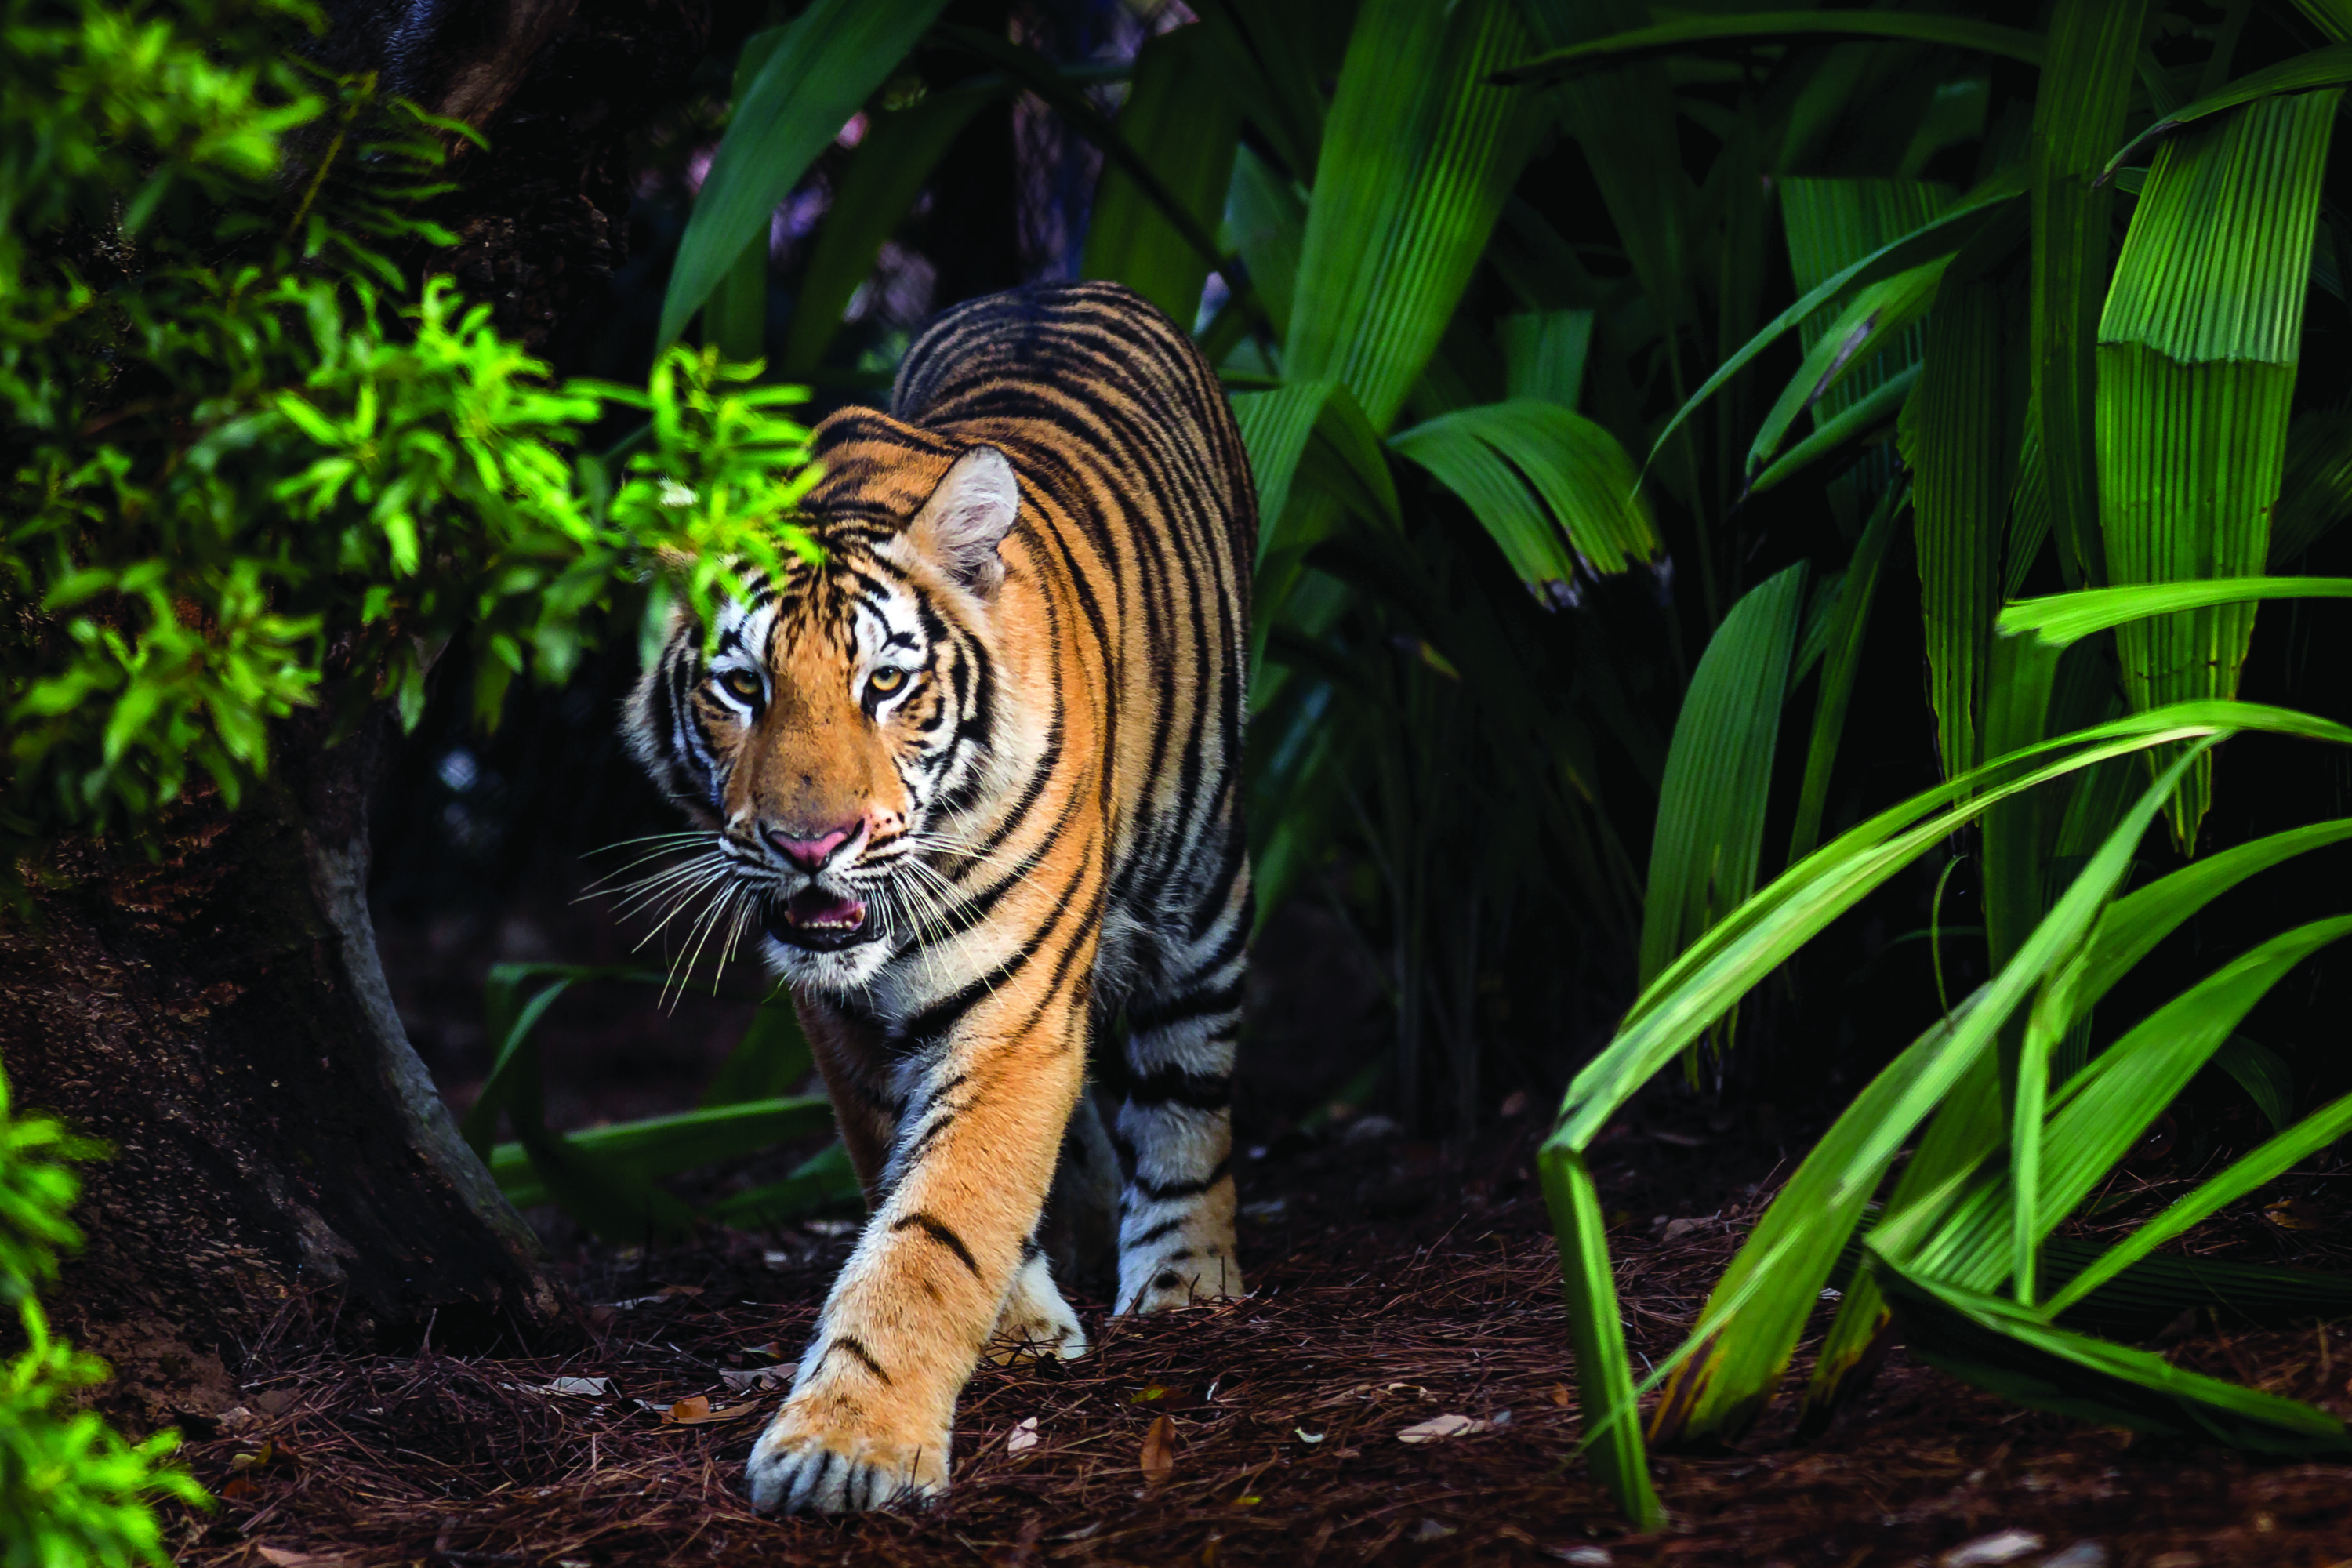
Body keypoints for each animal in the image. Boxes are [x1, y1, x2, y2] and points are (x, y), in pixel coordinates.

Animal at [624, 280, 1255, 1515]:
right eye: (742, 686)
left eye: (887, 682)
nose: (810, 843)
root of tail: (1053, 283)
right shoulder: (841, 1020)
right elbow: (912, 1179)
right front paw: (1018, 1327)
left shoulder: (1012, 1011)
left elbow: (936, 1226)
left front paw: (845, 1448)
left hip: (1203, 877)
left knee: (1190, 1079)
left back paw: (1187, 1278)